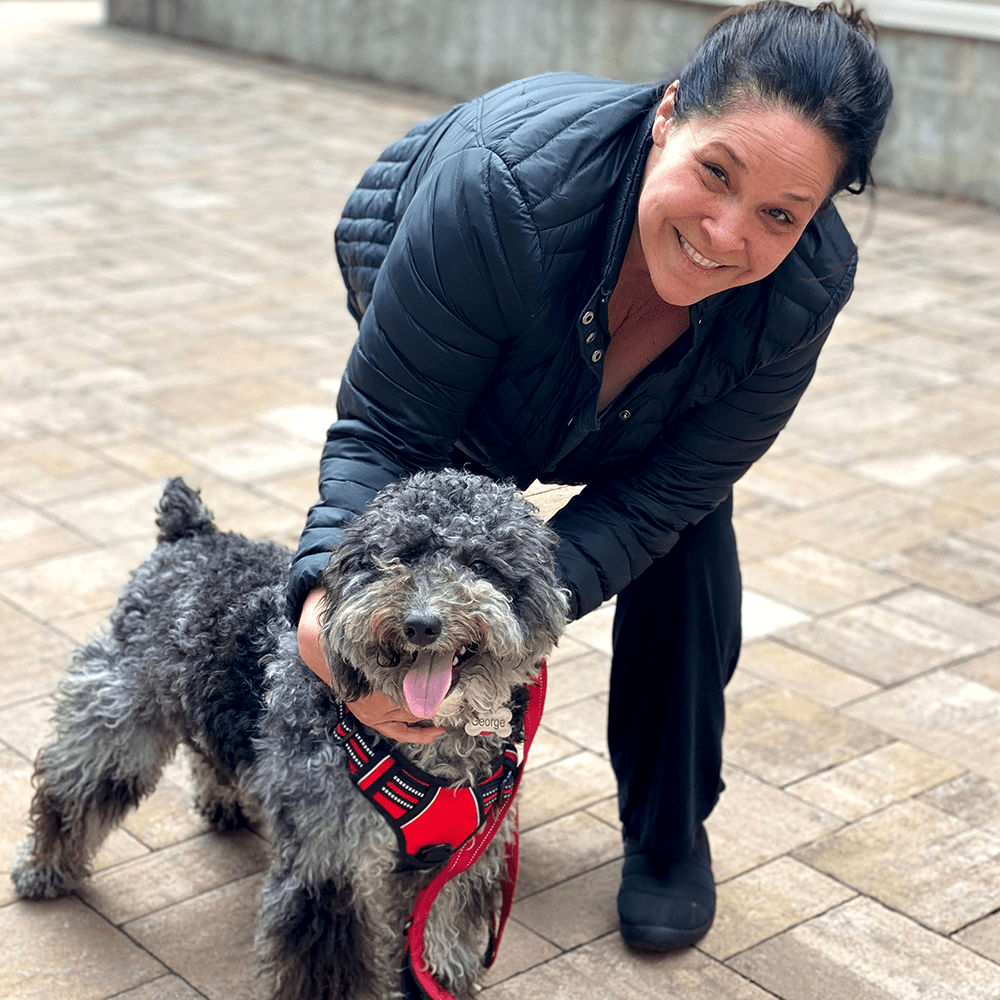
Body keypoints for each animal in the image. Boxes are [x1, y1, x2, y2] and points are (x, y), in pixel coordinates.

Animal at [11, 470, 568, 1000]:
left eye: (482, 565)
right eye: (399, 556)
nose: (421, 624)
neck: (427, 749)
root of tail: (189, 532)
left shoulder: (459, 867)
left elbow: (440, 949)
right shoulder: (329, 860)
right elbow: (329, 973)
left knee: (209, 748)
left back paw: (222, 802)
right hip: (120, 714)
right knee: (73, 788)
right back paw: (43, 869)